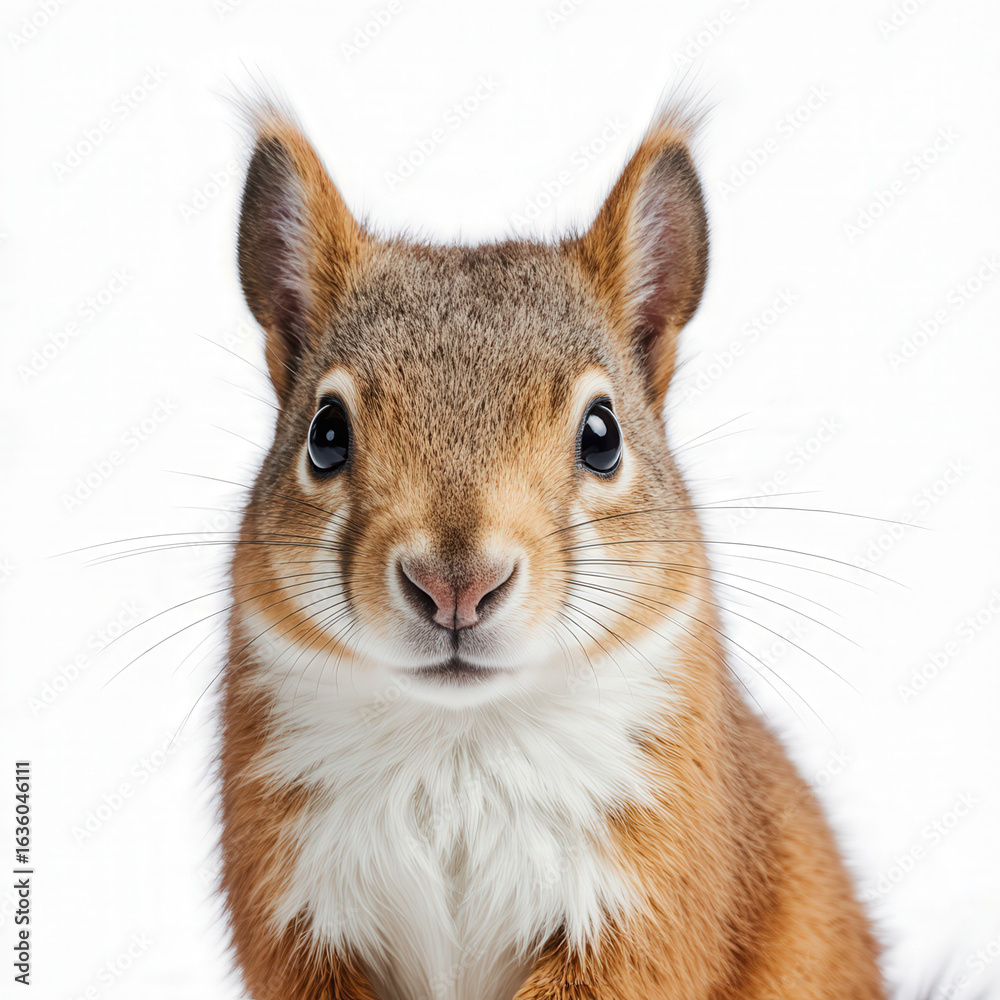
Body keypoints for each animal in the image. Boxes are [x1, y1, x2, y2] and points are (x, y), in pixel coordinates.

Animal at [218, 99, 887, 1000]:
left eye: (602, 436)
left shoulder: (652, 892)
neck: (459, 743)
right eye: (325, 435)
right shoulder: (291, 905)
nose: (456, 584)